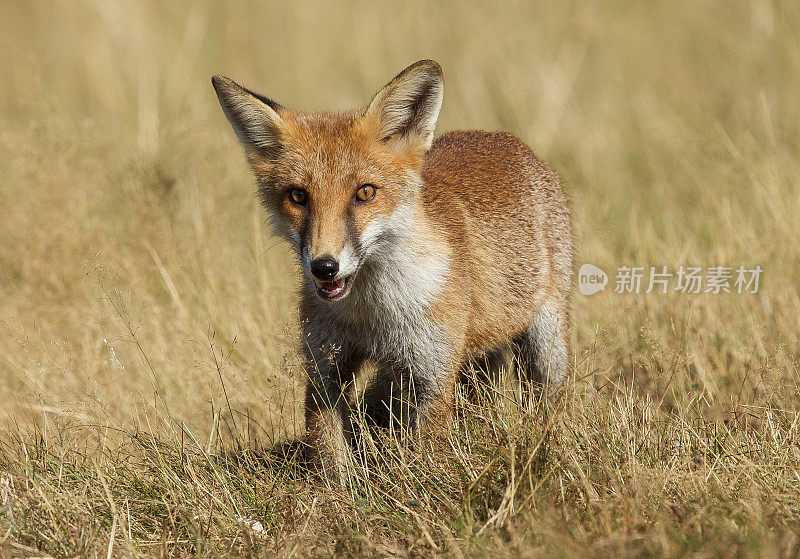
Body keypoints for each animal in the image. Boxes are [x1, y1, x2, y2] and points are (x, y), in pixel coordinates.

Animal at [211, 61, 576, 480]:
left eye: (365, 193)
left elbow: (427, 457)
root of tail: (500, 136)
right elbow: (329, 458)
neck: (372, 315)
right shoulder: (326, 366)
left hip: (544, 346)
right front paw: (337, 493)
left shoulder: (432, 372)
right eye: (298, 196)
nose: (324, 267)